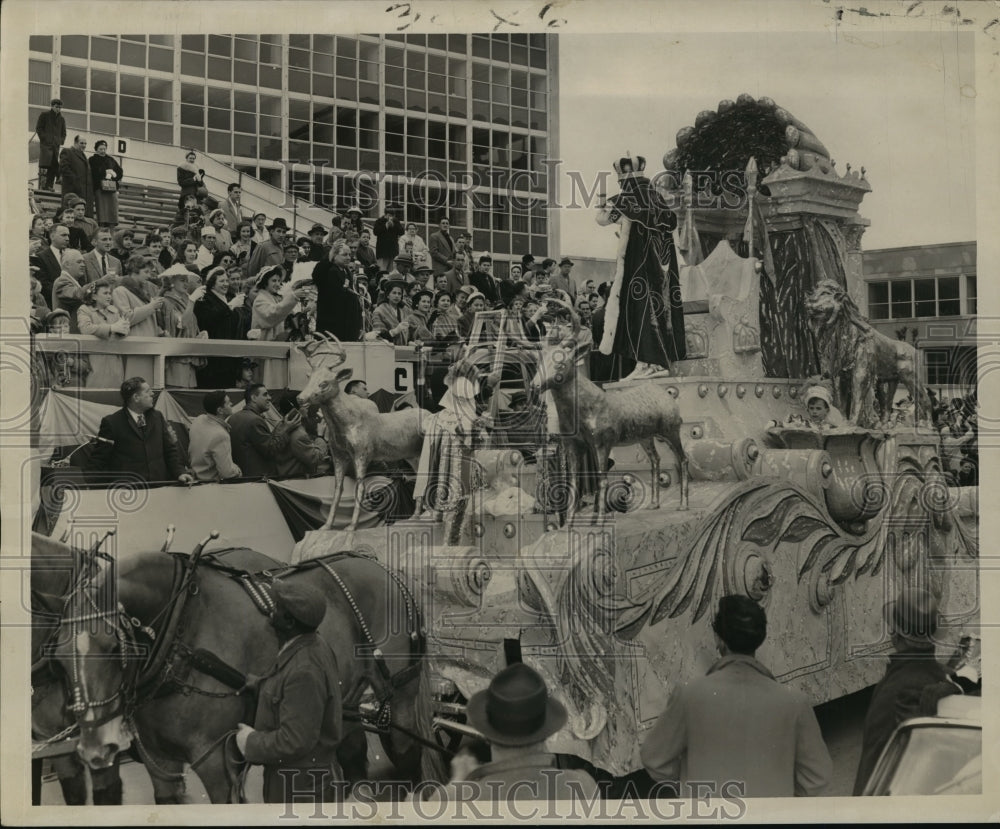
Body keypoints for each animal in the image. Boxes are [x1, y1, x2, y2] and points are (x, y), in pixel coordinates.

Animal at [48, 536, 448, 804]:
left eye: (113, 648)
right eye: (58, 656)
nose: (96, 749)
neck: (182, 629)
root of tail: (382, 567)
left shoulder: (215, 761)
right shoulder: (160, 764)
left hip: (400, 695)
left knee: (406, 753)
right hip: (344, 699)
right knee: (349, 755)